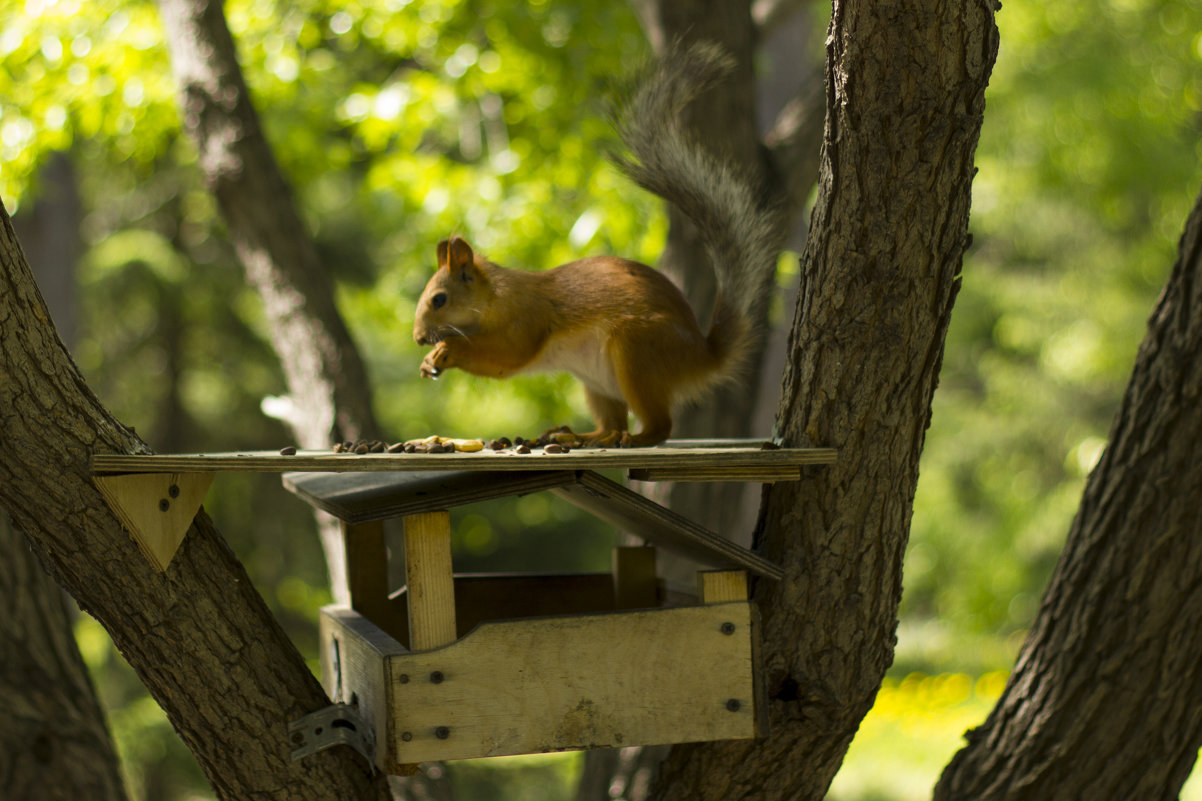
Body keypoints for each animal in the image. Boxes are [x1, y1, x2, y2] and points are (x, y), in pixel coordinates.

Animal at [413, 43, 788, 445]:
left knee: (659, 426)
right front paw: (430, 360)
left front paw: (448, 349)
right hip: (597, 383)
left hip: (637, 352)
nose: (418, 338)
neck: (494, 297)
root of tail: (700, 357)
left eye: (439, 299)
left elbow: (508, 356)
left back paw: (632, 438)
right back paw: (578, 435)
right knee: (611, 422)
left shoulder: (527, 318)